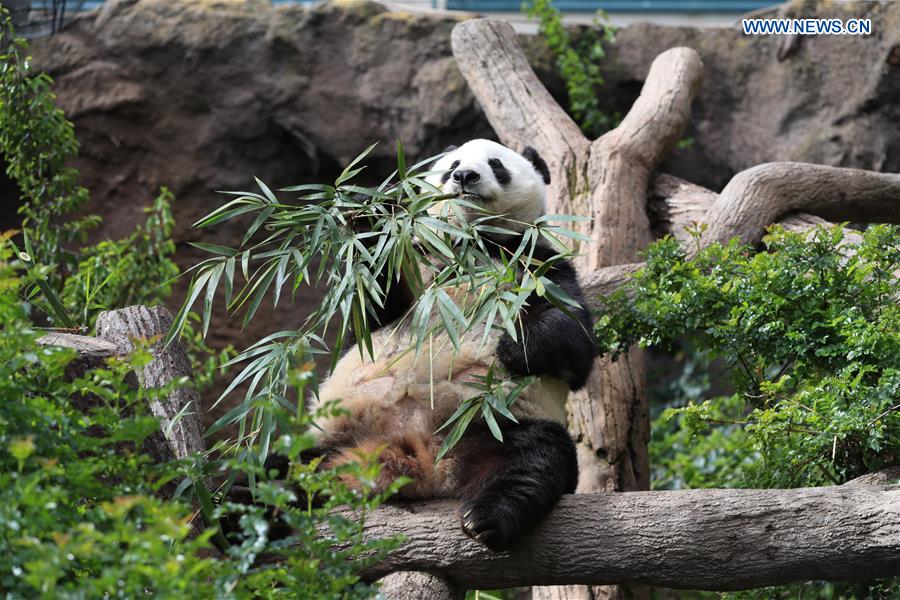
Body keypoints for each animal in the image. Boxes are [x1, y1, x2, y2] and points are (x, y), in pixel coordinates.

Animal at [310, 138, 596, 552]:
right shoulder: (418, 256)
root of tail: (425, 463)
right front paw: (365, 216)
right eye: (452, 165)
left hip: (500, 422)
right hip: (328, 435)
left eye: (496, 164)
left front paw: (510, 348)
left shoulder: (534, 259)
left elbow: (574, 341)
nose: (464, 177)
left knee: (536, 460)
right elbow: (371, 305)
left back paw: (486, 518)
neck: (470, 244)